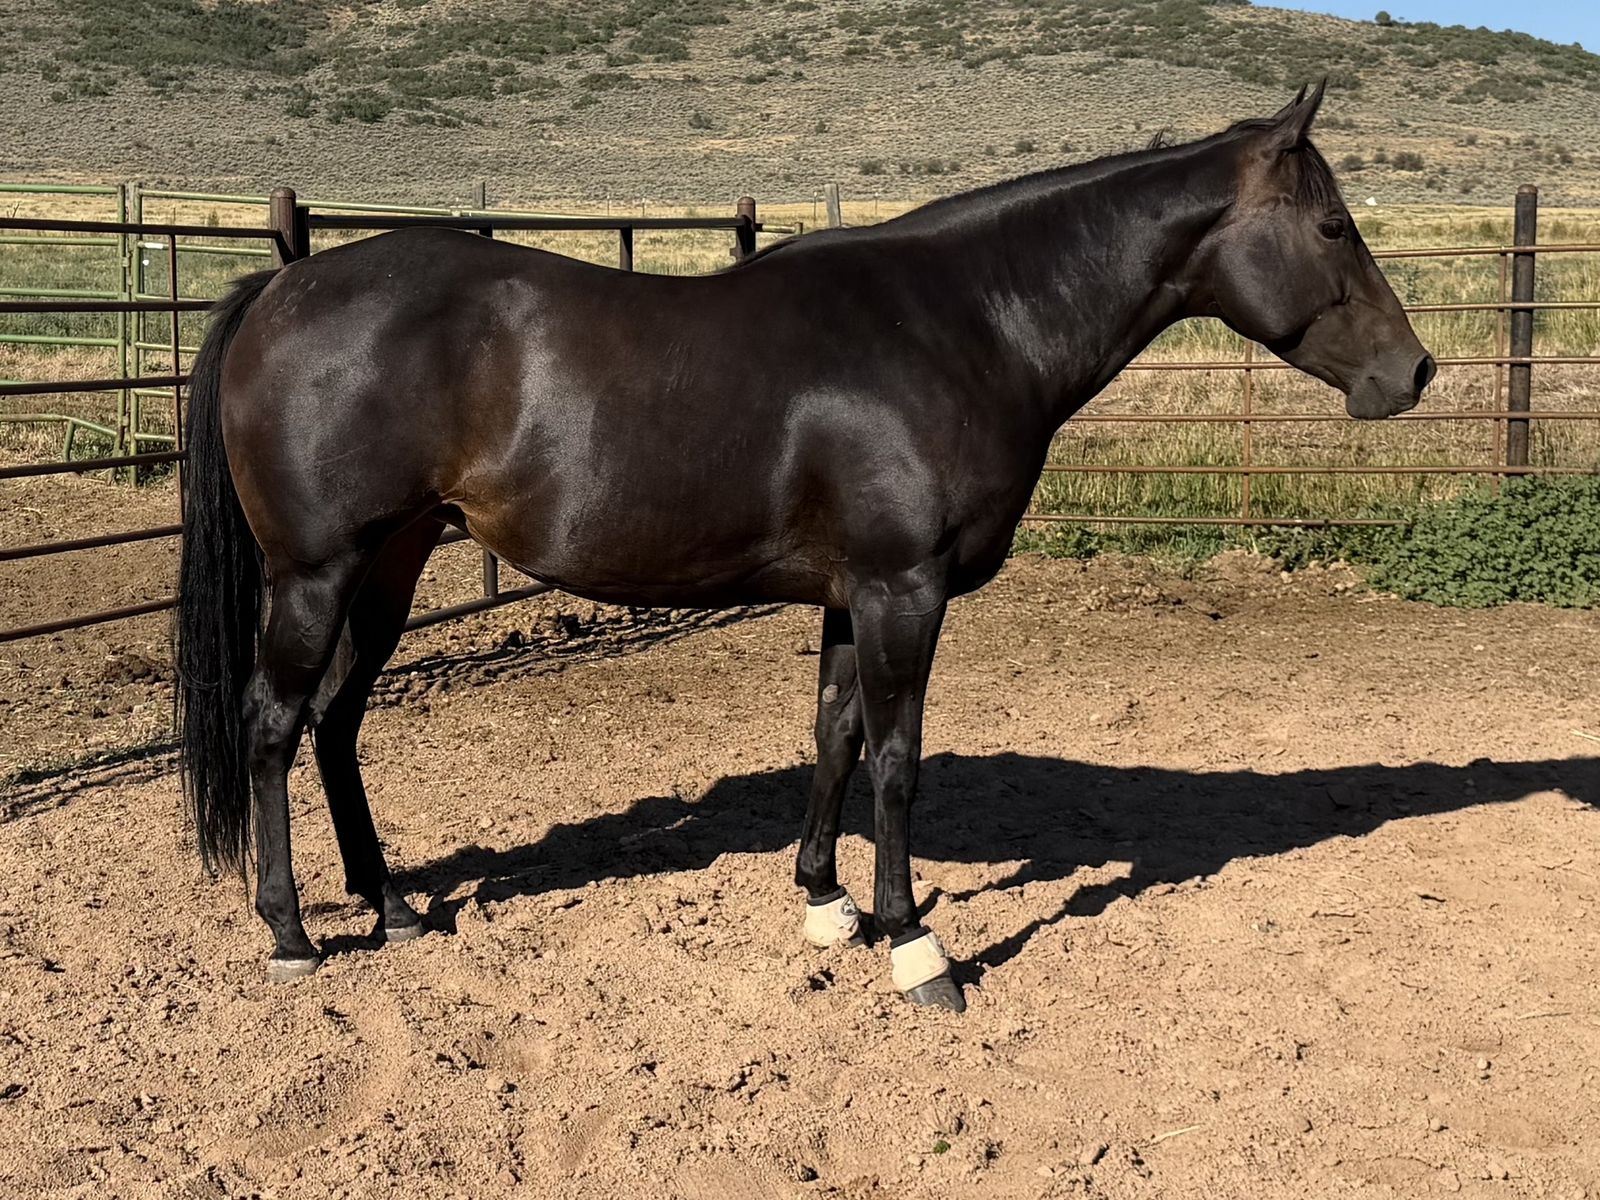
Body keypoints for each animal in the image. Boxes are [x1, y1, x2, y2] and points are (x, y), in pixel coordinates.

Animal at [176, 83, 1434, 1011]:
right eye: (1332, 226)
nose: (1411, 372)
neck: (964, 324)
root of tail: (281, 285)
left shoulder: (851, 592)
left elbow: (834, 735)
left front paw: (826, 902)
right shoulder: (903, 590)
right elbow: (897, 760)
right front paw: (915, 947)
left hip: (387, 566)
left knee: (336, 723)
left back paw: (388, 904)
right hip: (317, 574)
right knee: (276, 723)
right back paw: (290, 932)